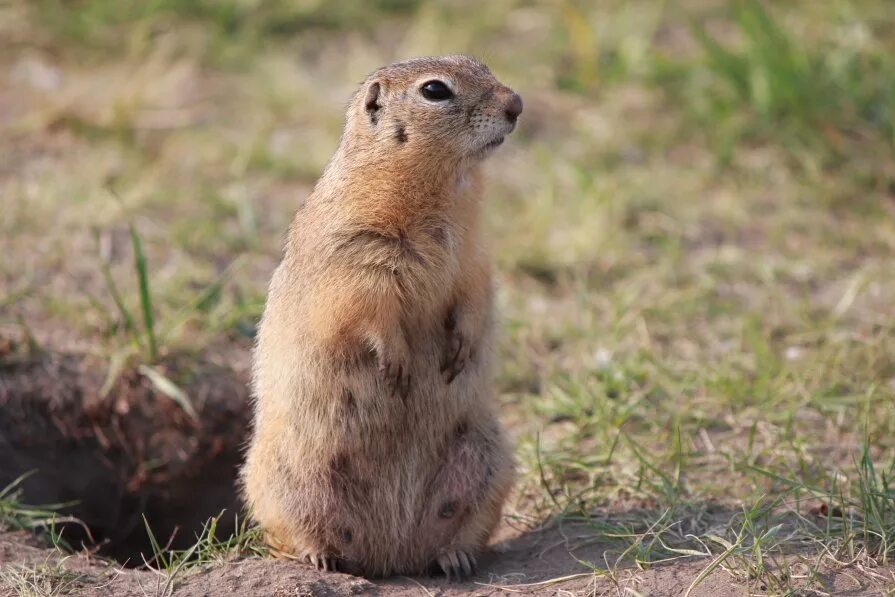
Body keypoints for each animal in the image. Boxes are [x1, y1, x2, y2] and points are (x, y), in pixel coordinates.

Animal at [243, 56, 524, 576]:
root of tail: (392, 556)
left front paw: (462, 347)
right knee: (289, 531)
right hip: (283, 475)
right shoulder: (359, 254)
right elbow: (365, 308)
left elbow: (474, 295)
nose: (517, 104)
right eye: (435, 91)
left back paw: (454, 557)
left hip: (490, 458)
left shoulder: (474, 254)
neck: (444, 189)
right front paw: (396, 363)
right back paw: (319, 556)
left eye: (480, 63)